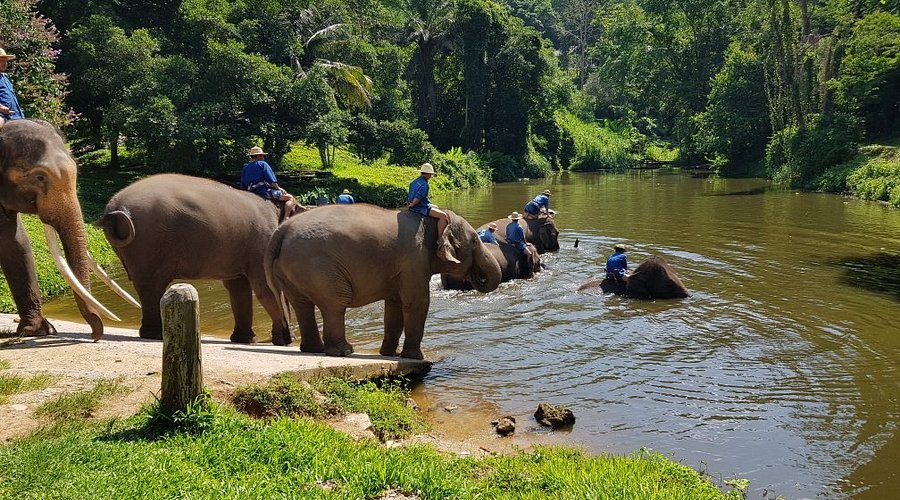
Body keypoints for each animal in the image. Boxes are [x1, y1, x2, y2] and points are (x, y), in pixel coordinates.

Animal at [98, 173, 304, 345]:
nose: (291, 337)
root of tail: (113, 210)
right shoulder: (261, 241)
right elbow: (265, 287)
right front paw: (285, 341)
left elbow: (239, 288)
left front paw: (245, 340)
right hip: (148, 242)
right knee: (152, 285)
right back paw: (155, 335)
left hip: (136, 247)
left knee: (146, 286)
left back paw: (151, 334)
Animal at [264, 204, 503, 359]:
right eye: (475, 241)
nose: (476, 278)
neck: (433, 220)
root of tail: (281, 230)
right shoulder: (414, 260)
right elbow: (417, 303)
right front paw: (415, 357)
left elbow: (394, 307)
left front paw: (390, 354)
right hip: (317, 265)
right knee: (335, 303)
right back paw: (344, 352)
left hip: (291, 268)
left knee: (302, 305)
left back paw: (313, 350)